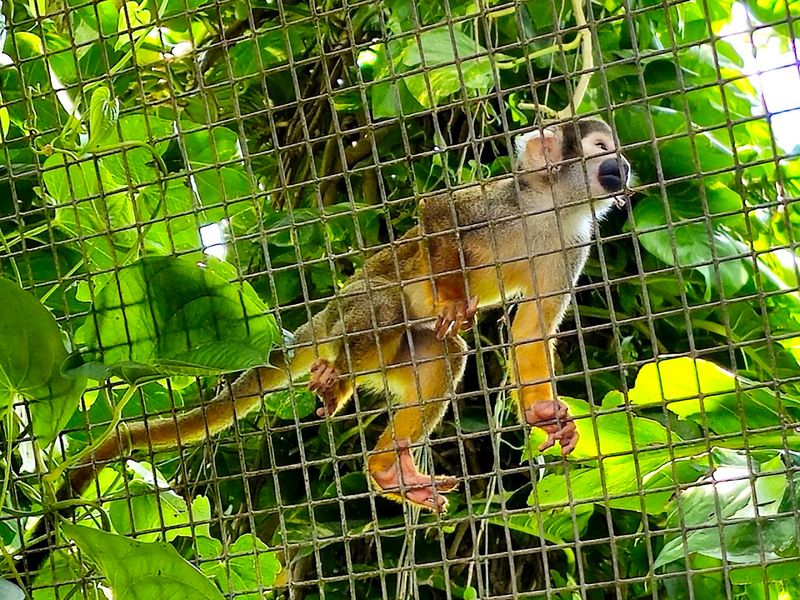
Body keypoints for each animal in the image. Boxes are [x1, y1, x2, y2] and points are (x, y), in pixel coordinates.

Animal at [68, 117, 630, 513]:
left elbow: (531, 329)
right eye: (603, 150)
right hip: (350, 306)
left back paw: (386, 467)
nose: (623, 167)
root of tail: (325, 319)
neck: (547, 209)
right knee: (383, 305)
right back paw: (336, 377)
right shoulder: (498, 203)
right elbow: (436, 214)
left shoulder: (571, 246)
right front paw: (451, 296)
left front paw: (545, 414)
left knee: (445, 355)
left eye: (617, 154)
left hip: (393, 358)